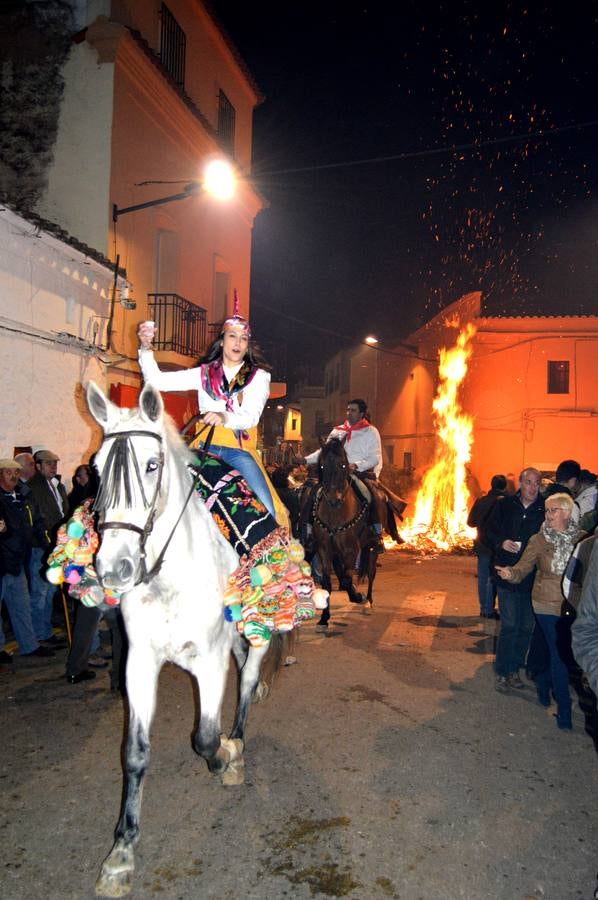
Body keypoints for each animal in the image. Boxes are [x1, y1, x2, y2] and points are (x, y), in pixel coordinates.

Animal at [86, 384, 288, 896]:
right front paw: (121, 854)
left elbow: (205, 737)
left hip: (255, 631)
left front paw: (228, 757)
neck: (169, 577)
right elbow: (135, 753)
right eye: (96, 468)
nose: (115, 568)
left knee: (247, 681)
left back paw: (239, 742)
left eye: (151, 465)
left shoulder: (209, 662)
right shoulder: (139, 663)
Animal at [308, 440, 378, 628]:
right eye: (322, 465)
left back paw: (368, 601)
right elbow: (327, 583)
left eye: (344, 465)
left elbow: (347, 579)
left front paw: (357, 596)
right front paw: (324, 617)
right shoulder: (325, 549)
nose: (334, 500)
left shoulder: (351, 549)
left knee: (371, 572)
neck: (335, 513)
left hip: (371, 547)